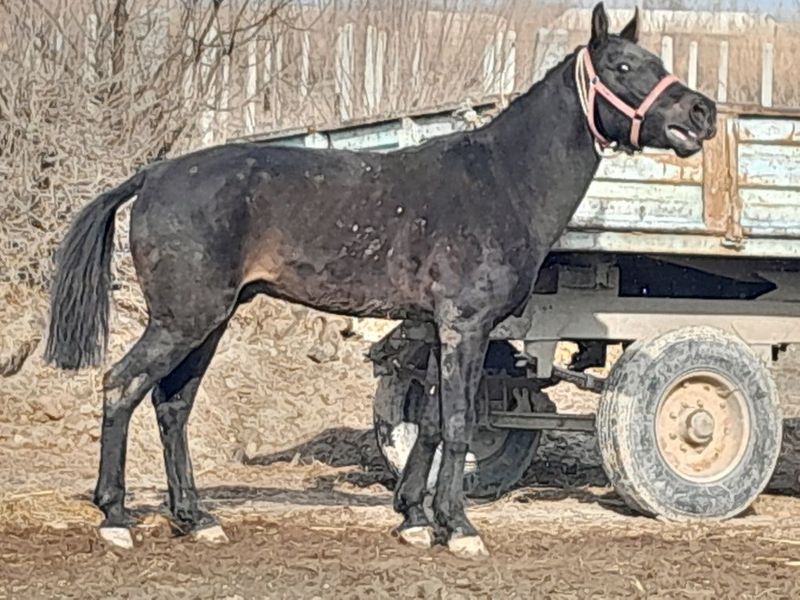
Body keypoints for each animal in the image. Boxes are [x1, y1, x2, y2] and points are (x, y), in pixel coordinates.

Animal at [45, 4, 720, 556]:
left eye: (659, 62)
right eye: (624, 65)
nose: (701, 112)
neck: (501, 180)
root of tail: (153, 175)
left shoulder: (437, 329)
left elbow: (431, 422)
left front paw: (415, 519)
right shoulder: (466, 327)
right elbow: (457, 422)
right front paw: (459, 527)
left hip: (207, 322)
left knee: (173, 405)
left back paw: (196, 517)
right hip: (183, 320)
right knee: (122, 386)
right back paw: (116, 518)